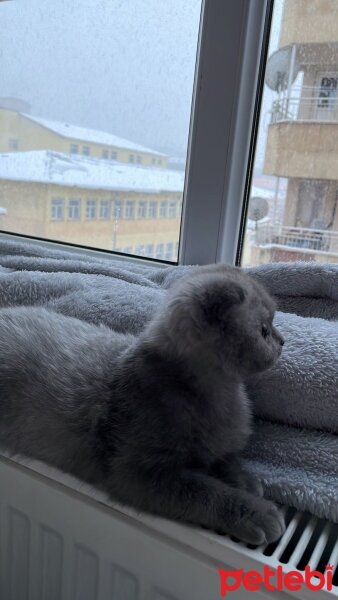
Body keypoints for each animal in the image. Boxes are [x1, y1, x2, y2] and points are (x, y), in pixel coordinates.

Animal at [0, 264, 286, 548]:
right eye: (264, 330)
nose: (282, 341)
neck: (219, 393)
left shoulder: (214, 445)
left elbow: (223, 460)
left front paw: (245, 481)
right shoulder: (138, 473)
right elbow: (205, 490)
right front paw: (254, 511)